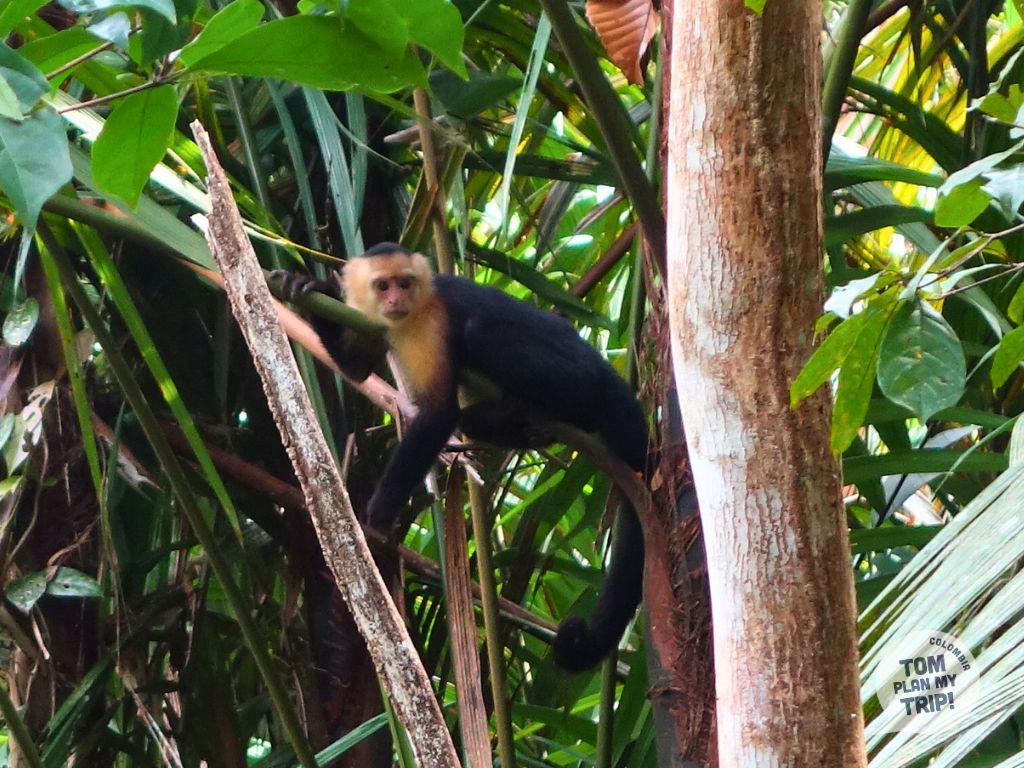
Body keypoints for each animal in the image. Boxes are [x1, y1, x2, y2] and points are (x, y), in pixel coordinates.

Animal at [276, 243, 648, 672]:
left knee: (480, 334)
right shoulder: (376, 322)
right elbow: (358, 368)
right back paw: (519, 424)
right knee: (472, 415)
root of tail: (611, 375)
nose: (396, 300)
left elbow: (439, 413)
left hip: (578, 377)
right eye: (383, 285)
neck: (415, 309)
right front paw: (310, 287)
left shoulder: (430, 321)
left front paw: (379, 511)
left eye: (405, 283)